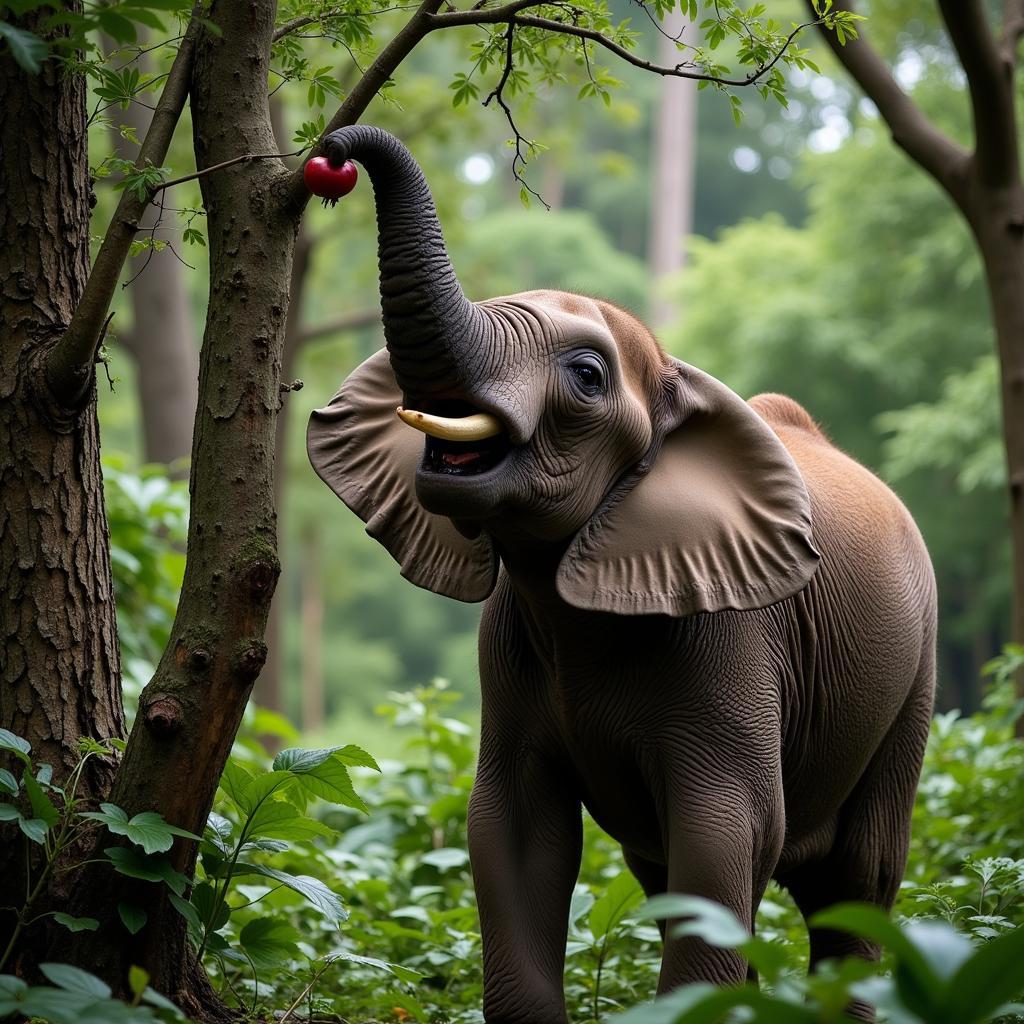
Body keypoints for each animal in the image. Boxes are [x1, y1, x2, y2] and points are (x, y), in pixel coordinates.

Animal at [303, 123, 937, 1019]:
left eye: (587, 377)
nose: (333, 149)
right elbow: (513, 827)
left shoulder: (731, 632)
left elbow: (725, 834)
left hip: (915, 674)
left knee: (858, 879)